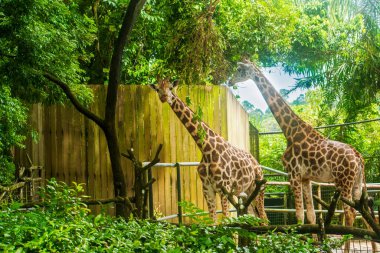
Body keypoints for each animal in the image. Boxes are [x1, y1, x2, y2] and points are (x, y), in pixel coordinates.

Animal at [149, 78, 268, 222]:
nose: (164, 97)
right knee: (256, 217)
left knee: (264, 218)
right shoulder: (207, 189)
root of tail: (258, 165)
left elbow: (226, 221)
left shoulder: (224, 189)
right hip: (247, 193)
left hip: (259, 190)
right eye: (158, 89)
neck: (206, 150)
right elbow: (213, 222)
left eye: (171, 88)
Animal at [229, 60, 366, 228]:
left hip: (344, 181)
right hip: (357, 183)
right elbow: (311, 216)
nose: (230, 81)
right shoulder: (306, 178)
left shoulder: (293, 173)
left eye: (239, 69)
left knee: (349, 213)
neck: (290, 132)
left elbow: (299, 215)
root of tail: (359, 158)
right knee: (359, 212)